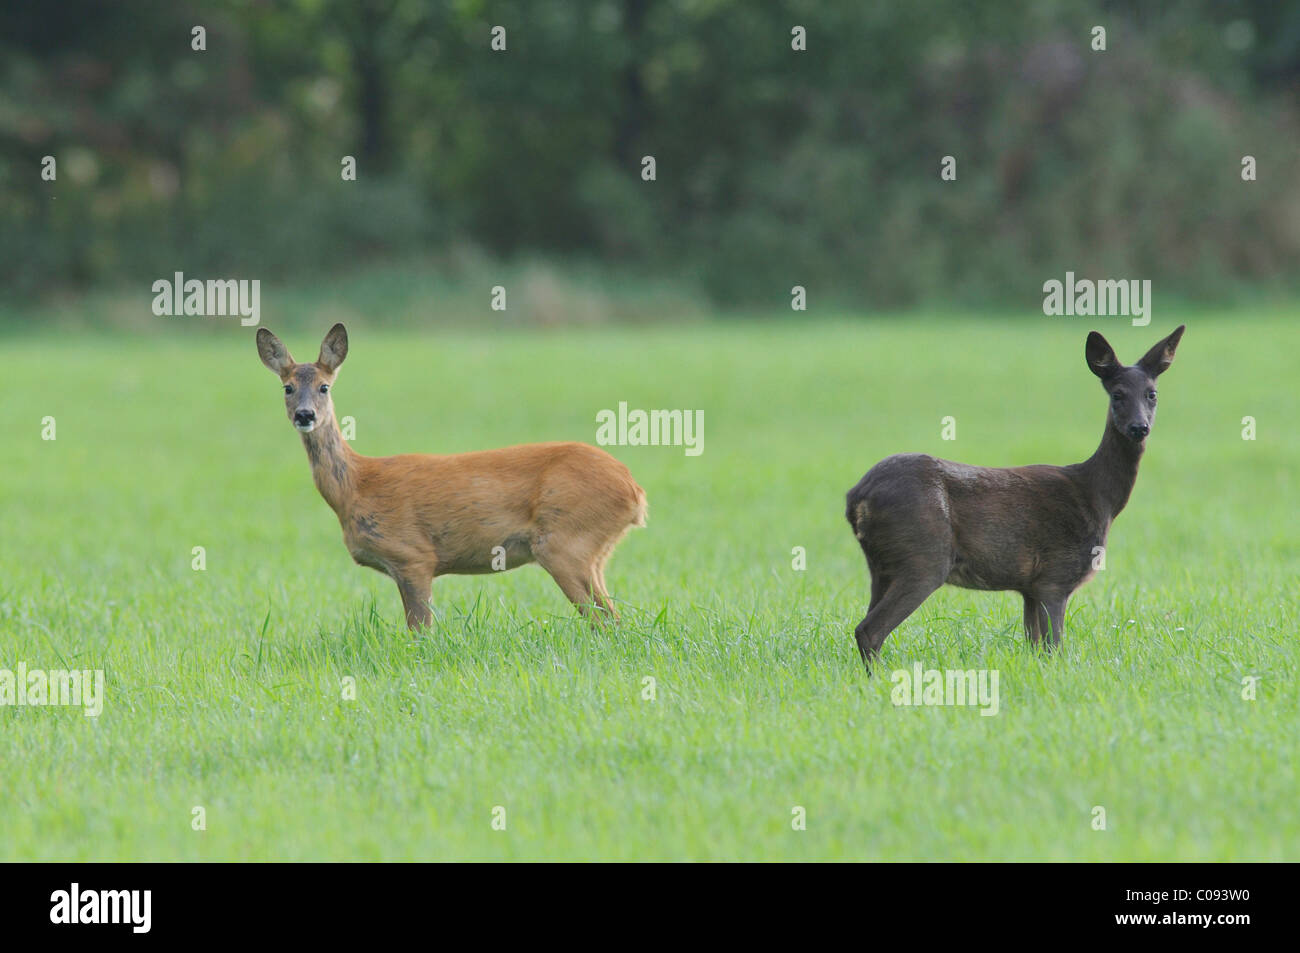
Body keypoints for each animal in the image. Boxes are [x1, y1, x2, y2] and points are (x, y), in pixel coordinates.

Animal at [255, 323, 647, 631]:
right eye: (287, 387)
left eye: (324, 387)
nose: (305, 415)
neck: (355, 486)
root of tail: (634, 491)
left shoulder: (413, 556)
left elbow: (421, 631)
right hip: (593, 552)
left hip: (566, 542)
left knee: (608, 621)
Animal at [845, 325, 1184, 667]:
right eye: (1117, 394)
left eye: (1152, 394)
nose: (1139, 427)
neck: (1099, 498)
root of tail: (856, 496)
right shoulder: (1054, 577)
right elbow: (1054, 648)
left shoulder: (1030, 587)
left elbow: (1036, 648)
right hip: (924, 556)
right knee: (869, 630)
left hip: (880, 567)